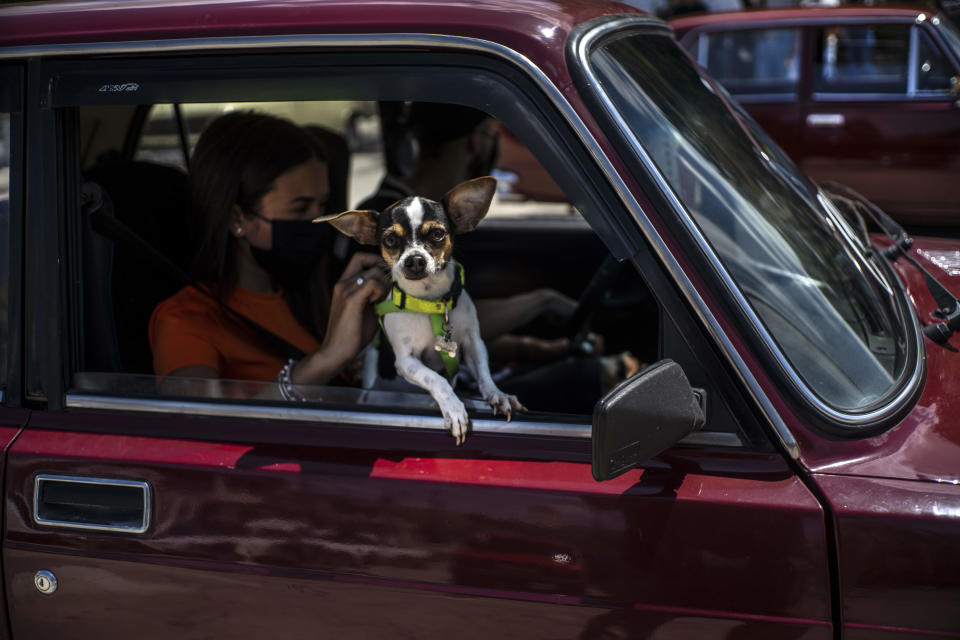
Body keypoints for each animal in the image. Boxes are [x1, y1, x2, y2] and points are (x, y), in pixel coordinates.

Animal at [328, 176, 524, 444]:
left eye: (438, 233)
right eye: (390, 239)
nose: (415, 259)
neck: (430, 303)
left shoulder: (473, 344)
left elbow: (484, 373)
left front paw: (498, 394)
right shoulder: (406, 362)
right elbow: (437, 379)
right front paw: (454, 408)